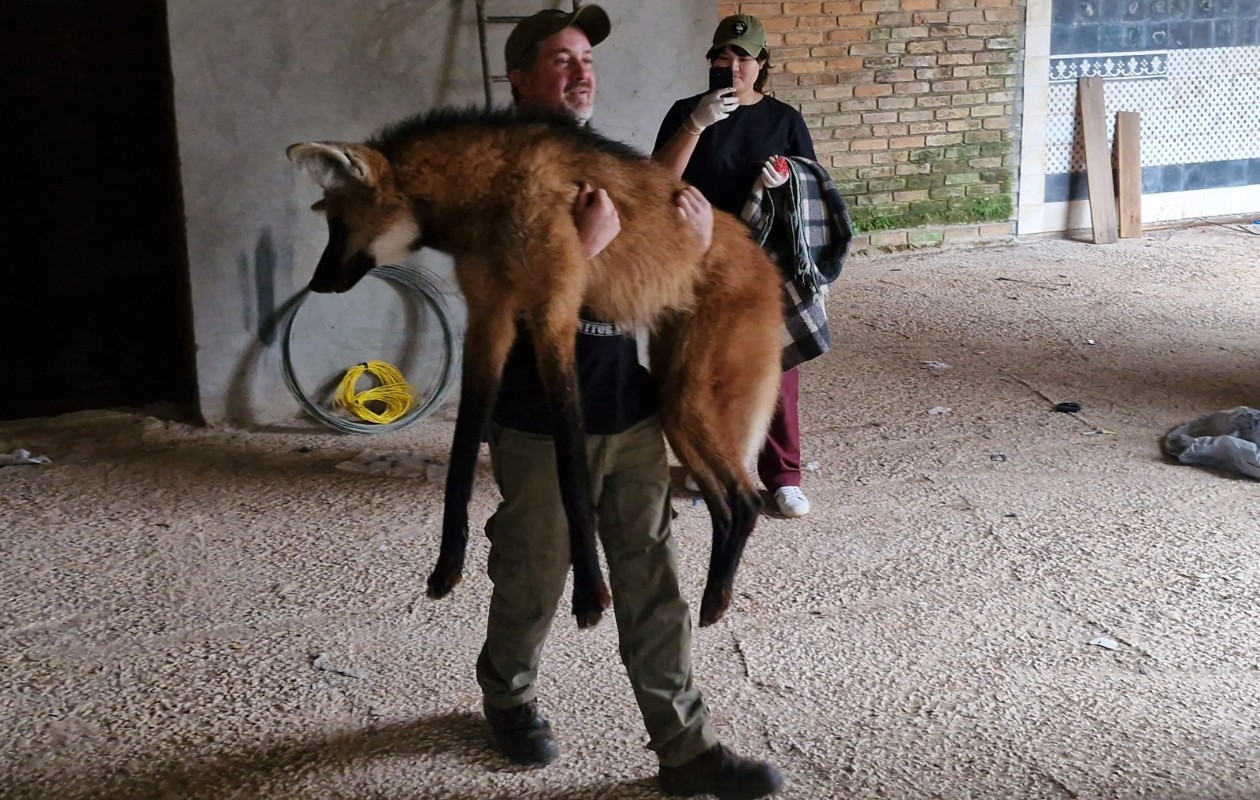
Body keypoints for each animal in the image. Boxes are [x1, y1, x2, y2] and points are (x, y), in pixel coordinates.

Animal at [288, 107, 783, 628]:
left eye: (338, 226)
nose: (317, 284)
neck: (488, 196)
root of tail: (759, 252)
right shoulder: (490, 318)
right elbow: (462, 456)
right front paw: (447, 567)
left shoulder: (553, 311)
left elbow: (570, 464)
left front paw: (590, 594)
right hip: (674, 401)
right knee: (727, 503)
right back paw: (713, 598)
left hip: (693, 396)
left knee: (746, 499)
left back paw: (718, 593)